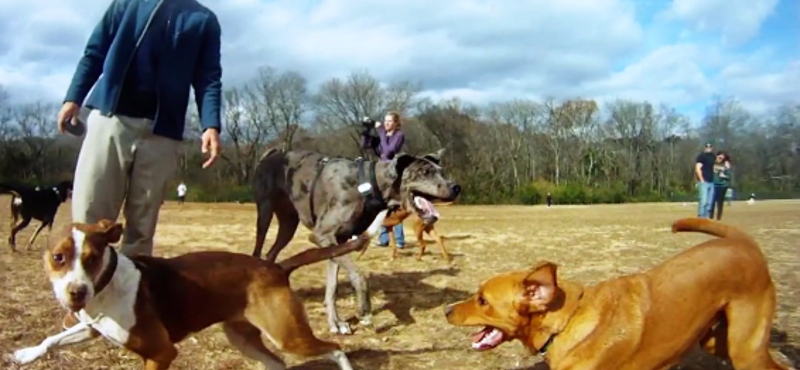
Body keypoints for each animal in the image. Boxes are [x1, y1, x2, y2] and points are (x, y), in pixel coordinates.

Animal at [11, 210, 388, 368]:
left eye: (92, 258)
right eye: (58, 257)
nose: (76, 293)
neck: (107, 286)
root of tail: (277, 268)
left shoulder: (162, 353)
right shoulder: (92, 328)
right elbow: (52, 339)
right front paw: (26, 355)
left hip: (288, 335)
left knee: (336, 349)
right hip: (243, 338)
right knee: (278, 364)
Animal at [250, 148, 462, 336]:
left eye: (441, 171)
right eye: (424, 172)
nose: (456, 187)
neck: (369, 184)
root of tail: (272, 153)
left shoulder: (337, 240)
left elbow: (332, 287)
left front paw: (336, 323)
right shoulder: (323, 235)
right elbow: (358, 276)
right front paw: (364, 310)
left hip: (289, 224)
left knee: (271, 253)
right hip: (265, 212)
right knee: (258, 249)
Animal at [444, 218, 792, 368]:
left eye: (482, 300)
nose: (446, 310)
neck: (566, 324)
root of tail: (742, 241)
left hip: (745, 349)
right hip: (717, 340)